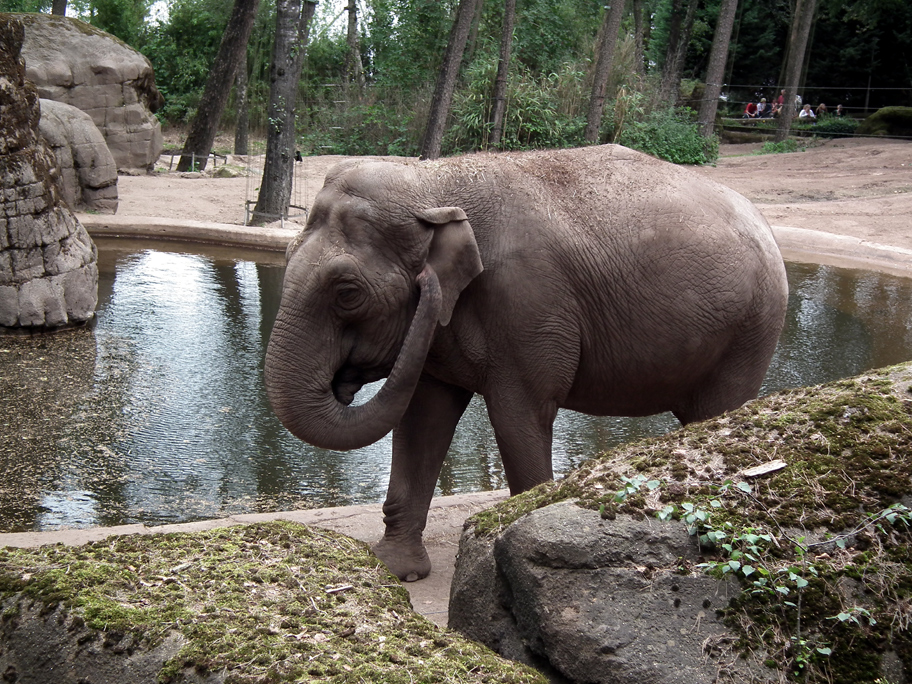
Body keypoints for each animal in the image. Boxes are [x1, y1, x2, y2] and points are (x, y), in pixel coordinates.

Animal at [262, 146, 784, 584]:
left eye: (347, 292)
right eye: (283, 256)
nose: (342, 382)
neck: (435, 182)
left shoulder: (529, 305)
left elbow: (519, 417)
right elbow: (421, 419)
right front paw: (398, 571)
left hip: (751, 330)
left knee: (720, 412)